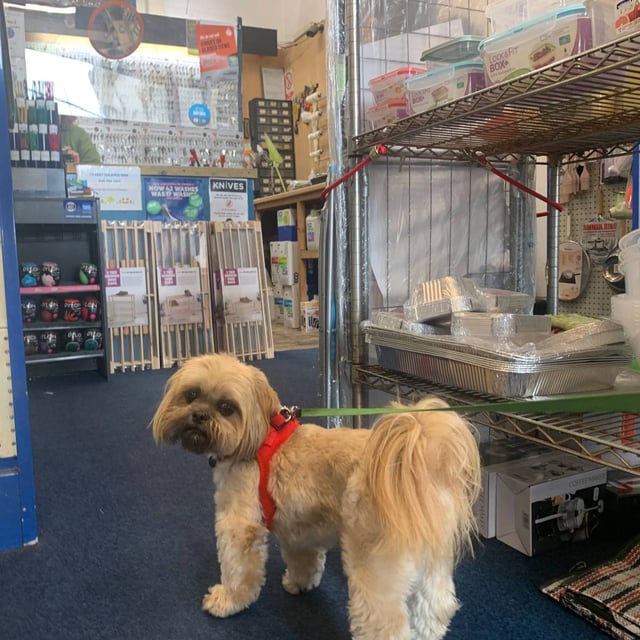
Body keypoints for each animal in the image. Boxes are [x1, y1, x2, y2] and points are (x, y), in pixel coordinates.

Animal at [151, 352, 480, 636]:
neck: (259, 441)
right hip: (431, 565)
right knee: (436, 608)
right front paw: (300, 583)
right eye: (191, 395)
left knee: (387, 624)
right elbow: (303, 560)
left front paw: (227, 600)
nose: (199, 416)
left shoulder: (238, 526)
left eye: (226, 408)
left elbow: (238, 569)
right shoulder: (301, 525)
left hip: (376, 566)